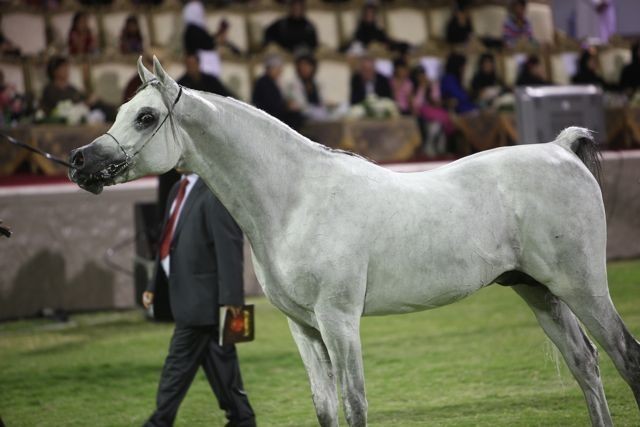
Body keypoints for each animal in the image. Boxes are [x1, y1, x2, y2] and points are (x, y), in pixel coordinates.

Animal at [68, 57, 639, 427]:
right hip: (537, 289)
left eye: (145, 116)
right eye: (120, 111)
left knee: (625, 358)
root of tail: (559, 150)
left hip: (583, 287)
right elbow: (326, 409)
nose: (79, 161)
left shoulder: (339, 321)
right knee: (585, 364)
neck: (296, 198)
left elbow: (357, 404)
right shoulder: (303, 327)